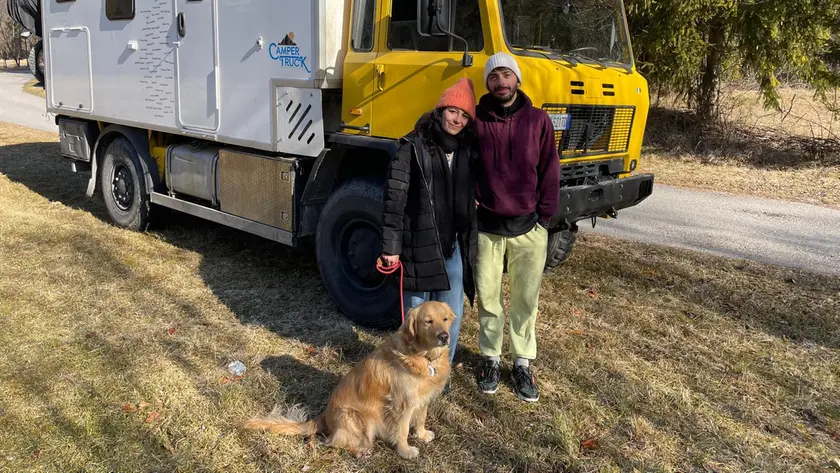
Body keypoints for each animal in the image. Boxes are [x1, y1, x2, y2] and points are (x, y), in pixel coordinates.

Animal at [243, 298, 452, 458]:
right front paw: (405, 451)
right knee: (334, 441)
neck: (423, 356)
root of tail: (325, 414)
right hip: (357, 419)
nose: (444, 336)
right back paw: (360, 451)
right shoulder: (402, 404)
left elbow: (421, 419)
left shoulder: (422, 400)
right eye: (428, 321)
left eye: (445, 319)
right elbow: (402, 430)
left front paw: (422, 435)